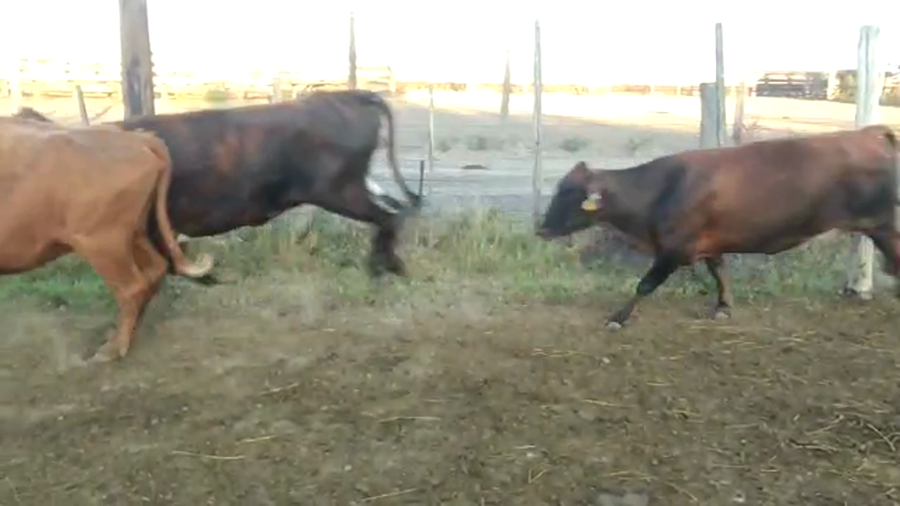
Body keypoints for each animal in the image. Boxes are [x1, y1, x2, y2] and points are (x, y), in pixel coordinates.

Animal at [0, 116, 215, 362]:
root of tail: (139, 137)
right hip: (133, 233)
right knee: (156, 269)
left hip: (102, 243)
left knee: (132, 287)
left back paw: (113, 348)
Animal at [14, 88, 423, 279]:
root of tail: (344, 95)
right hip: (355, 185)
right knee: (393, 211)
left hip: (340, 189)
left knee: (389, 217)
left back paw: (384, 268)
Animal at [536, 125, 899, 329]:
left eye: (568, 194)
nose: (541, 230)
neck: (660, 189)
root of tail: (869, 133)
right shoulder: (709, 243)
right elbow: (719, 273)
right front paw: (724, 307)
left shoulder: (674, 249)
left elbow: (645, 284)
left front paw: (618, 317)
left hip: (884, 225)